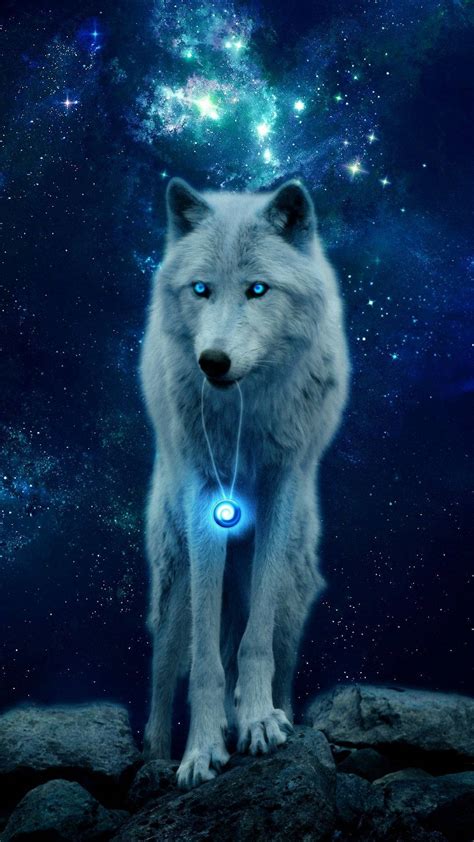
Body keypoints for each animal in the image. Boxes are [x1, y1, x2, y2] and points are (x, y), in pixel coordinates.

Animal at [140, 176, 350, 789]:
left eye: (258, 289)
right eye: (201, 289)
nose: (213, 361)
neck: (243, 412)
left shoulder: (281, 487)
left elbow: (254, 646)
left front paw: (257, 721)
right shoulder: (207, 497)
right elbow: (205, 664)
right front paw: (201, 750)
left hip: (295, 588)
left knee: (274, 650)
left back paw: (273, 713)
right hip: (174, 579)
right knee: (164, 672)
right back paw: (156, 757)